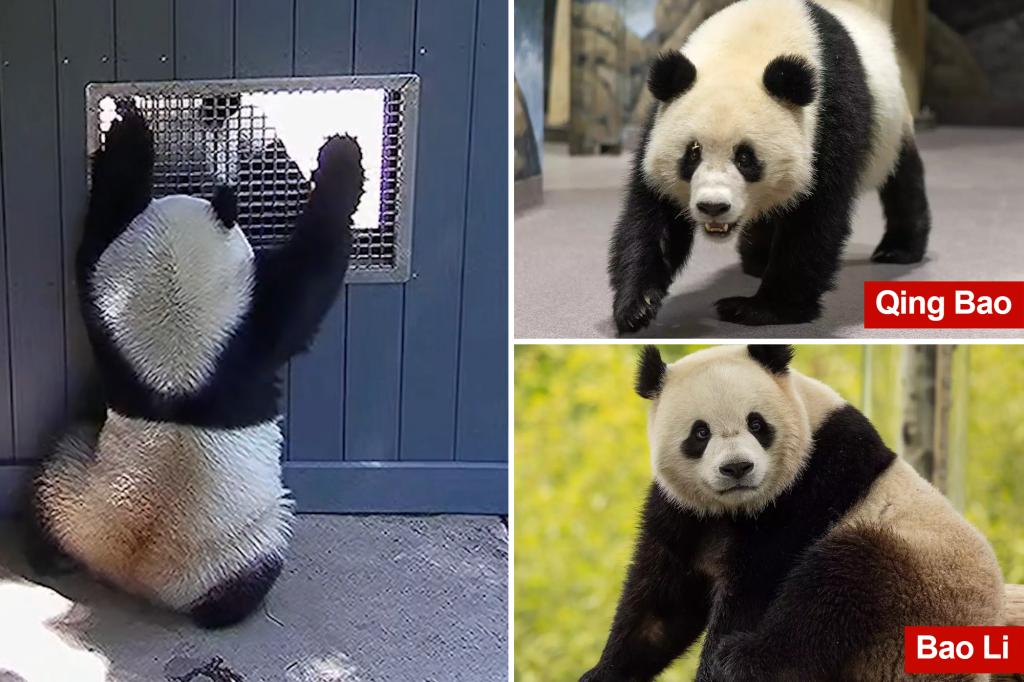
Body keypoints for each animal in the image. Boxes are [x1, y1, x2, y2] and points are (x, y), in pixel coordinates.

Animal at [28, 108, 364, 628]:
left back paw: (48, 555)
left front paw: (126, 136)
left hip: (76, 491)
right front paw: (342, 157)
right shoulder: (253, 331)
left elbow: (96, 238)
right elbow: (312, 274)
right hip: (236, 544)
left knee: (47, 486)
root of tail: (129, 573)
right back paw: (234, 609)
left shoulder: (109, 324)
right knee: (253, 571)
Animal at [581, 345, 1005, 682]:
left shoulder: (809, 487)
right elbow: (660, 606)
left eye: (756, 423)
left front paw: (717, 669)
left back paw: (745, 660)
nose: (737, 468)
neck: (735, 509)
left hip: (920, 584)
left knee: (837, 585)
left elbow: (755, 589)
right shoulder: (684, 512)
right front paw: (603, 672)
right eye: (700, 433)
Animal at [610, 0, 932, 332]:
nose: (713, 206)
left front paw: (759, 309)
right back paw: (758, 259)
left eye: (745, 158)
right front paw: (637, 306)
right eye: (693, 154)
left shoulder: (830, 119)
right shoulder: (657, 124)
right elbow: (652, 214)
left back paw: (898, 249)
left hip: (892, 128)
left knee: (903, 180)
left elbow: (814, 219)